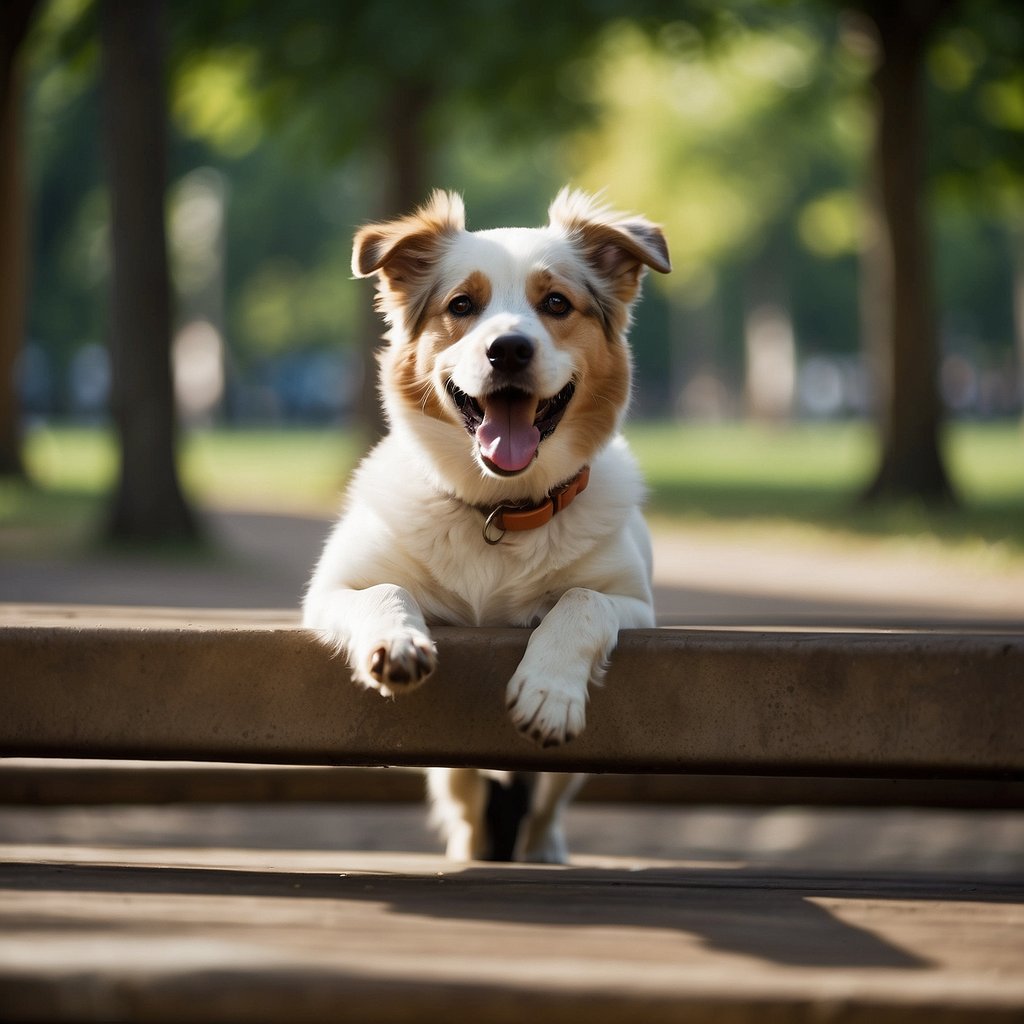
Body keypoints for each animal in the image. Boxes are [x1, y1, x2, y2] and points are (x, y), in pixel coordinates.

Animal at [301, 188, 671, 860]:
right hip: (453, 773)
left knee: (542, 813)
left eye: (557, 303)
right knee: (471, 813)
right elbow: (385, 590)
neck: (500, 508)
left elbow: (581, 601)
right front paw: (397, 642)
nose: (509, 349)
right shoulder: (330, 592)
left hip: (565, 779)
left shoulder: (634, 606)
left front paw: (549, 689)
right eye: (461, 306)